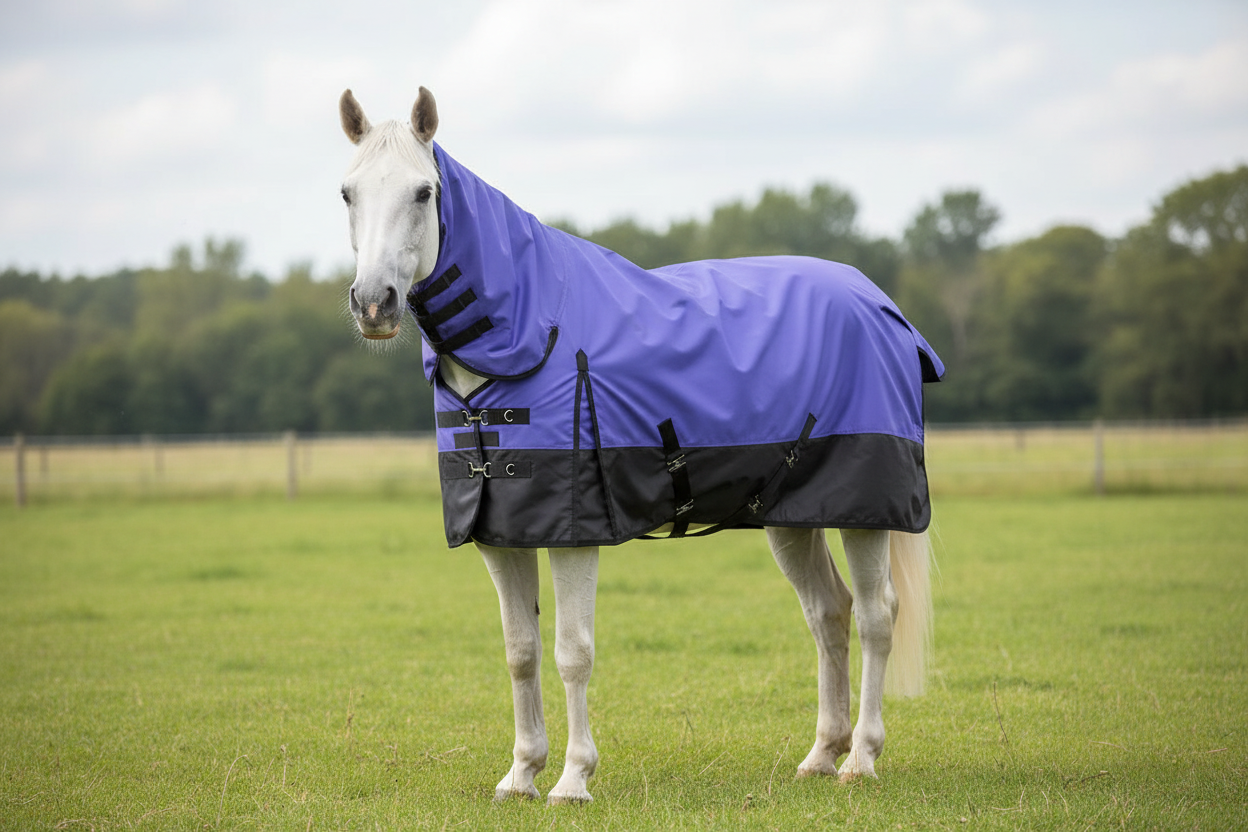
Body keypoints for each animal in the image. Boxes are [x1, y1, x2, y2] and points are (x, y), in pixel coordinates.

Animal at [337, 87, 942, 805]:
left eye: (424, 191)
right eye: (347, 192)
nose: (374, 304)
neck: (526, 334)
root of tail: (882, 306)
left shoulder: (574, 535)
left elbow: (572, 652)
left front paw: (573, 778)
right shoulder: (499, 533)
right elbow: (520, 652)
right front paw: (521, 774)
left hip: (865, 513)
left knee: (876, 616)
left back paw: (861, 759)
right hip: (792, 516)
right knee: (828, 613)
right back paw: (822, 754)